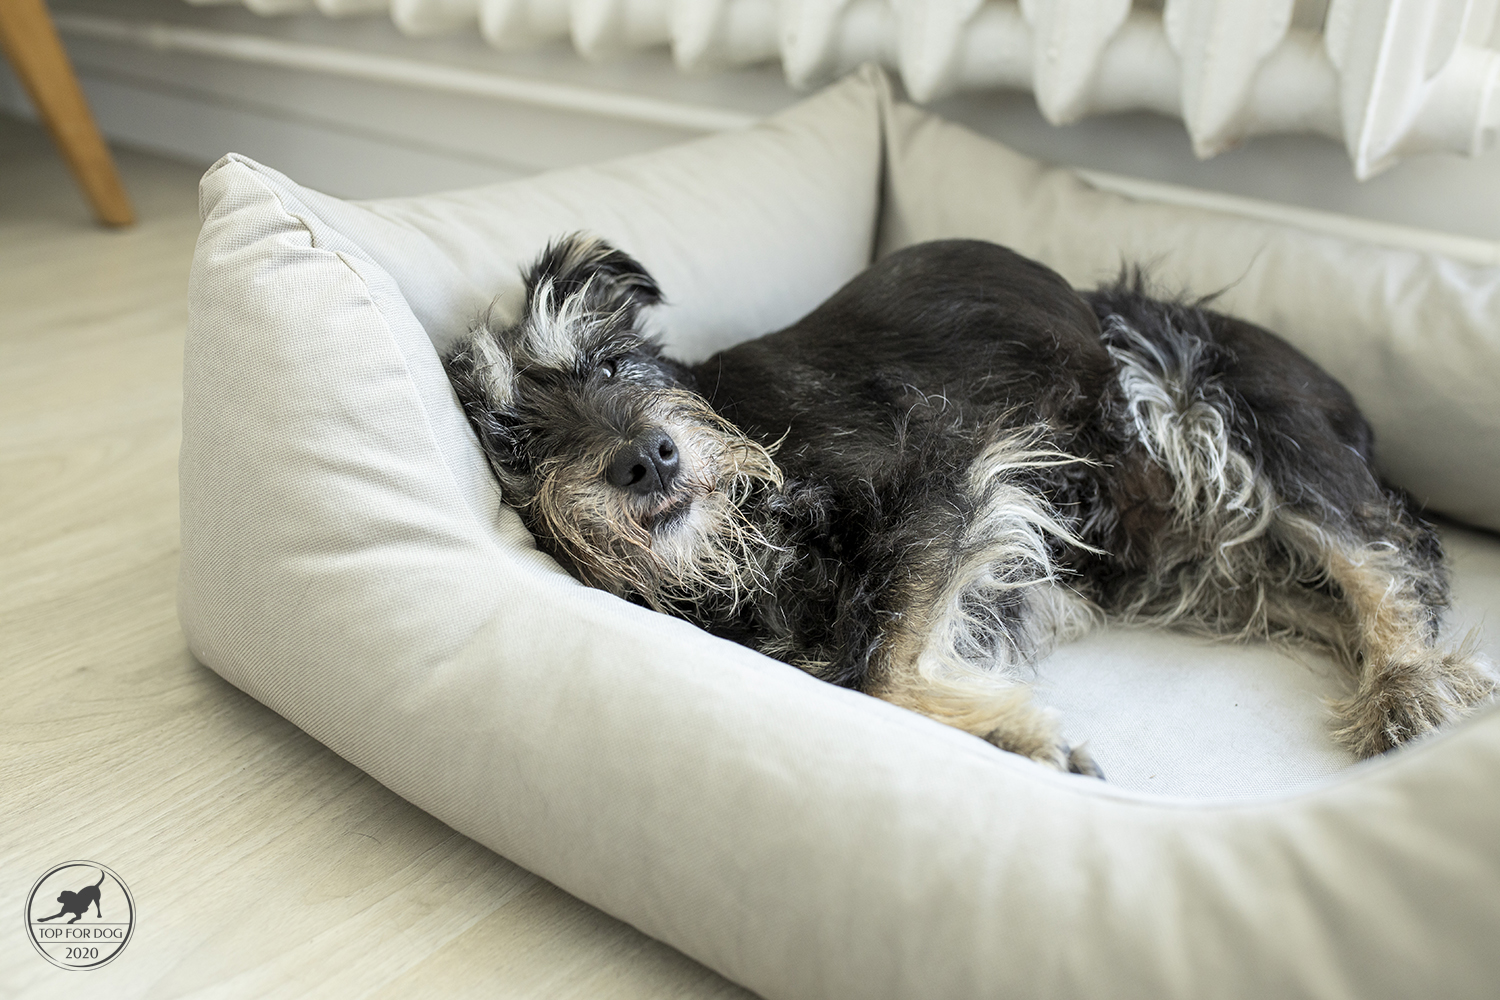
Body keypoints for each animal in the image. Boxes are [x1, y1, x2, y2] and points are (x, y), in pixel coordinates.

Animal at [443, 234, 1495, 775]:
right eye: (514, 439)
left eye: (611, 364)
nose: (648, 458)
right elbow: (867, 668)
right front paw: (1011, 730)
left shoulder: (950, 475)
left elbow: (878, 667)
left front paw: (1023, 736)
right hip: (1187, 568)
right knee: (1331, 591)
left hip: (1216, 409)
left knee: (1377, 554)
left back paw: (1408, 683)